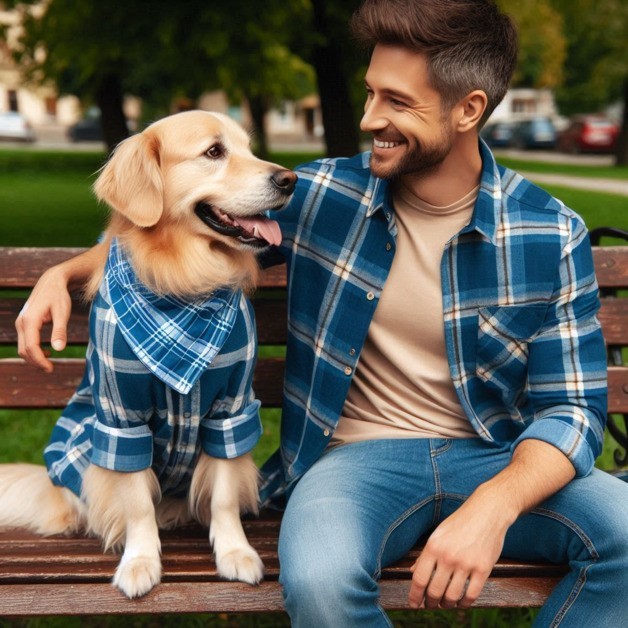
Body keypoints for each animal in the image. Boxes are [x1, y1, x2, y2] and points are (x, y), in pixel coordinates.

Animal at [0, 109, 296, 600]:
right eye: (214, 151)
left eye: (250, 148)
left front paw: (235, 552)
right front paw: (140, 561)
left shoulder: (231, 408)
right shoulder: (121, 418)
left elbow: (224, 496)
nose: (290, 179)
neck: (183, 293)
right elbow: (136, 501)